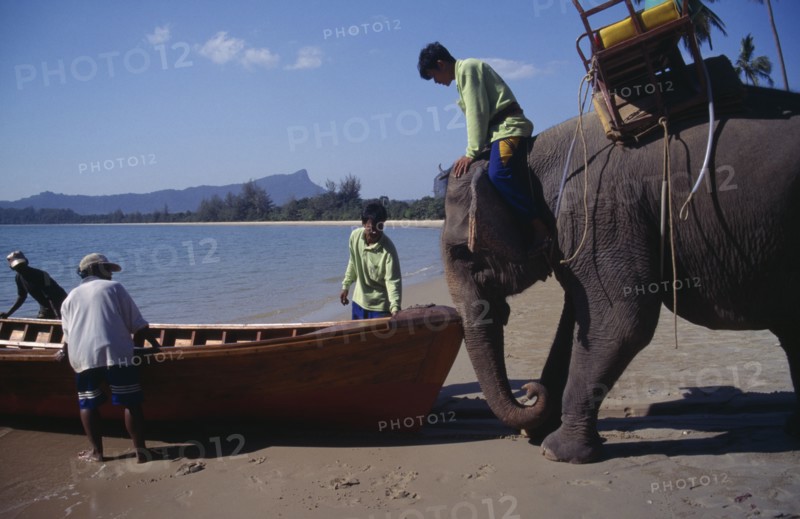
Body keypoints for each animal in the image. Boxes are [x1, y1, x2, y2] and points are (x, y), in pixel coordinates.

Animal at [440, 82, 800, 464]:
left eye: (461, 252)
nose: (529, 389)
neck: (527, 157)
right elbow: (575, 322)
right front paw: (539, 431)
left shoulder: (602, 214)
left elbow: (620, 323)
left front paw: (557, 451)